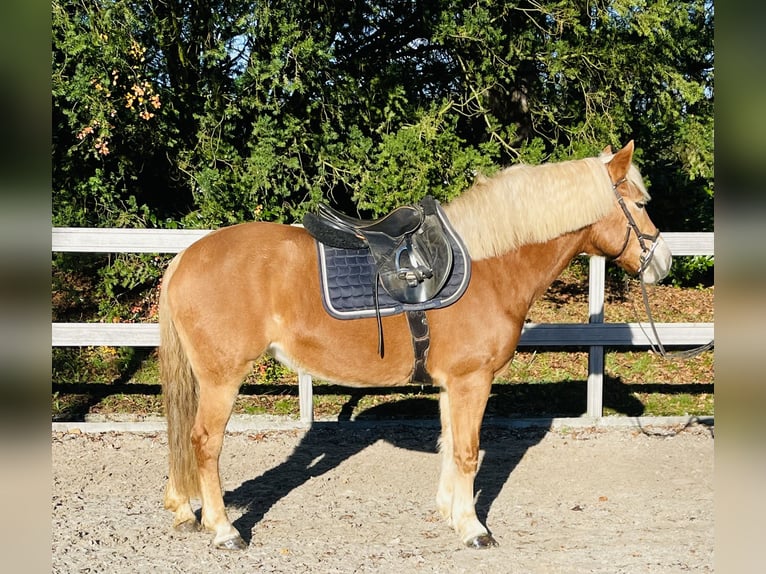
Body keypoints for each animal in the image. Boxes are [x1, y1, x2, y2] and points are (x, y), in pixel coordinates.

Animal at [160, 141, 672, 552]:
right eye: (640, 203)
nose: (662, 263)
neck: (491, 265)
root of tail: (186, 256)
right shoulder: (472, 380)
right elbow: (468, 451)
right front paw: (473, 528)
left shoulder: (452, 384)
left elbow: (451, 443)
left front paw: (449, 513)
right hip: (223, 377)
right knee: (204, 442)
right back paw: (224, 530)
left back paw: (184, 510)